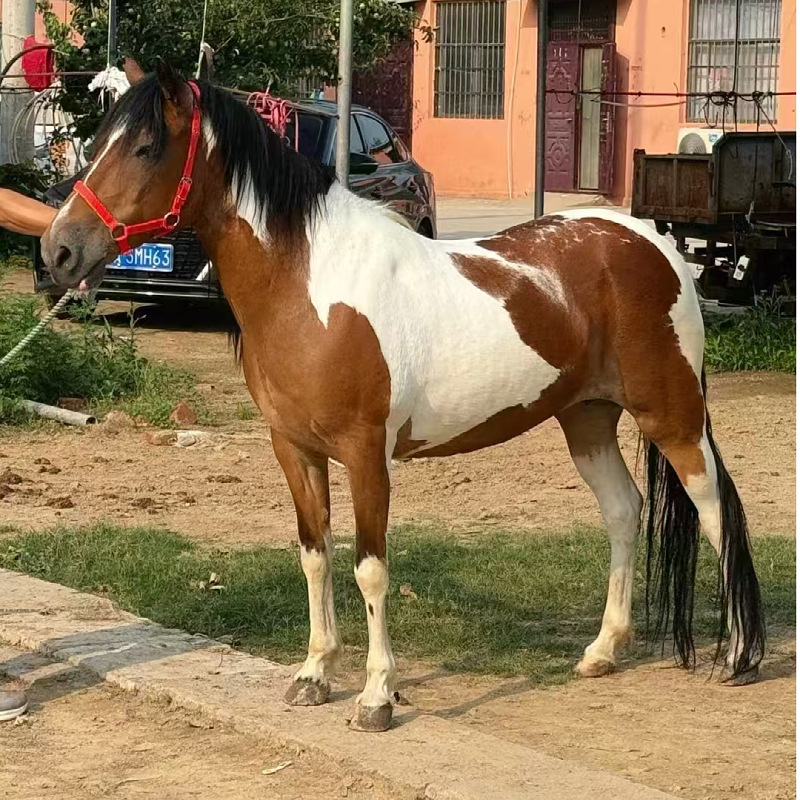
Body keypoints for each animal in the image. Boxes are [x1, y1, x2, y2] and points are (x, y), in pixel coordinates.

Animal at [41, 62, 765, 733]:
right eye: (96, 140)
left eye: (144, 148)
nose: (58, 249)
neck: (310, 287)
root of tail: (653, 242)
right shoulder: (294, 449)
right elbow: (313, 554)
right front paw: (313, 674)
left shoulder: (365, 453)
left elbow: (370, 567)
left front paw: (376, 697)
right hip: (585, 418)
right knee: (623, 510)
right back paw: (603, 651)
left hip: (671, 417)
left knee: (715, 511)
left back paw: (737, 656)